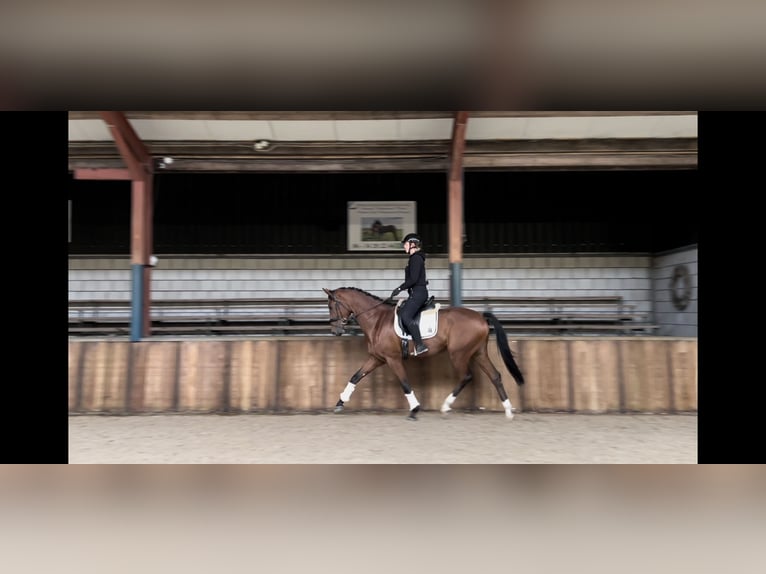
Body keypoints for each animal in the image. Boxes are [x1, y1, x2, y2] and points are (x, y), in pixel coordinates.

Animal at [320, 290, 524, 420]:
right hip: (478, 353)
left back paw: (445, 406)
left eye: (331, 306)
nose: (335, 331)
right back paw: (508, 411)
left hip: (459, 354)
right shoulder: (377, 358)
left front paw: (415, 409)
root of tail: (481, 317)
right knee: (495, 376)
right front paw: (340, 403)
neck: (377, 320)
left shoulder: (392, 359)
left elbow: (404, 383)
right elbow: (356, 376)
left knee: (466, 376)